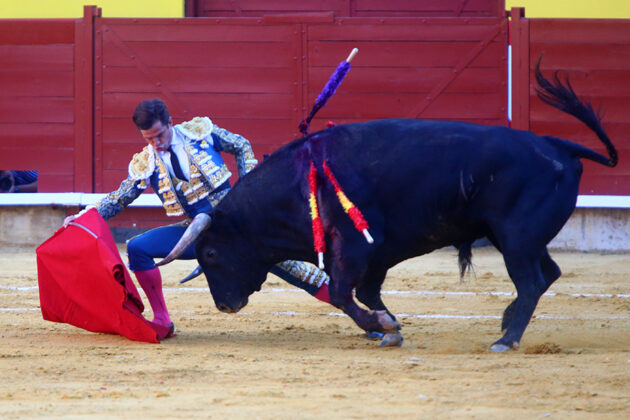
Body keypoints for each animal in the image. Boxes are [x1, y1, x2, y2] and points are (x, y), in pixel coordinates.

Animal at [191, 63, 616, 352]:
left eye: (210, 253)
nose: (224, 305)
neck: (298, 182)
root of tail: (558, 146)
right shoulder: (374, 256)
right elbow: (365, 293)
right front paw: (388, 327)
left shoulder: (355, 246)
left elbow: (343, 293)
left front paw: (383, 326)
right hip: (516, 238)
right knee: (548, 273)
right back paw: (506, 322)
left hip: (517, 239)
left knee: (530, 282)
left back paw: (506, 339)